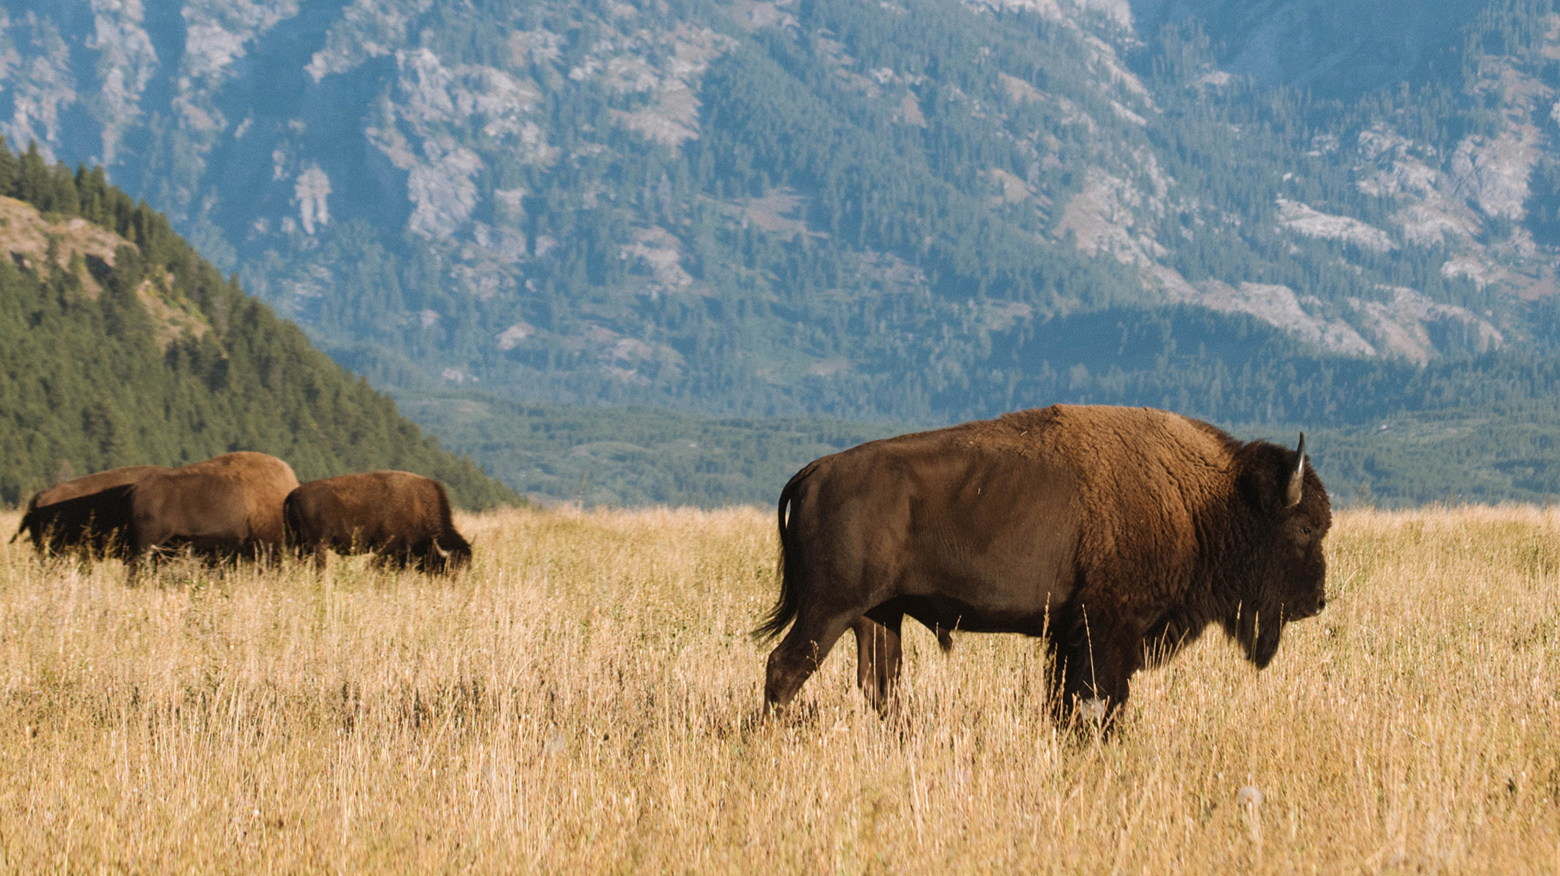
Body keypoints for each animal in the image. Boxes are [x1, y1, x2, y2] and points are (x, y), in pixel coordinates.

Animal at [283, 471, 471, 574]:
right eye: (450, 566)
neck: (418, 505)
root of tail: (292, 494)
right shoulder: (385, 549)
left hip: (300, 544)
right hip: (318, 544)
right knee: (318, 567)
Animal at [755, 404, 1331, 727]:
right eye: (1304, 528)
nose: (1317, 600)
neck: (1204, 500)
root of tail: (814, 471)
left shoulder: (1069, 634)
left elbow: (1065, 701)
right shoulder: (1108, 630)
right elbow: (1100, 701)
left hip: (877, 616)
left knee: (880, 686)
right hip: (829, 610)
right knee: (784, 669)